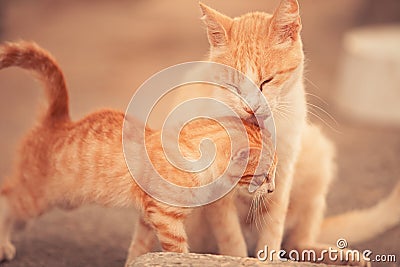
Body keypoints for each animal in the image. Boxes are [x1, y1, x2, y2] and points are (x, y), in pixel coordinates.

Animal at [0, 42, 278, 264]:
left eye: (274, 174)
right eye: (263, 176)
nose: (272, 190)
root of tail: (59, 120)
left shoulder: (148, 216)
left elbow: (138, 248)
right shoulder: (166, 219)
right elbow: (177, 250)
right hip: (40, 198)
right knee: (7, 197)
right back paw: (4, 245)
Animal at [153, 1, 400, 266]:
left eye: (267, 81)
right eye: (234, 87)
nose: (251, 107)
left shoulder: (282, 174)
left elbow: (274, 227)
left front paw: (268, 257)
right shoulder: (218, 189)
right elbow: (230, 237)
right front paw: (239, 258)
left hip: (318, 156)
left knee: (296, 243)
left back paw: (337, 255)